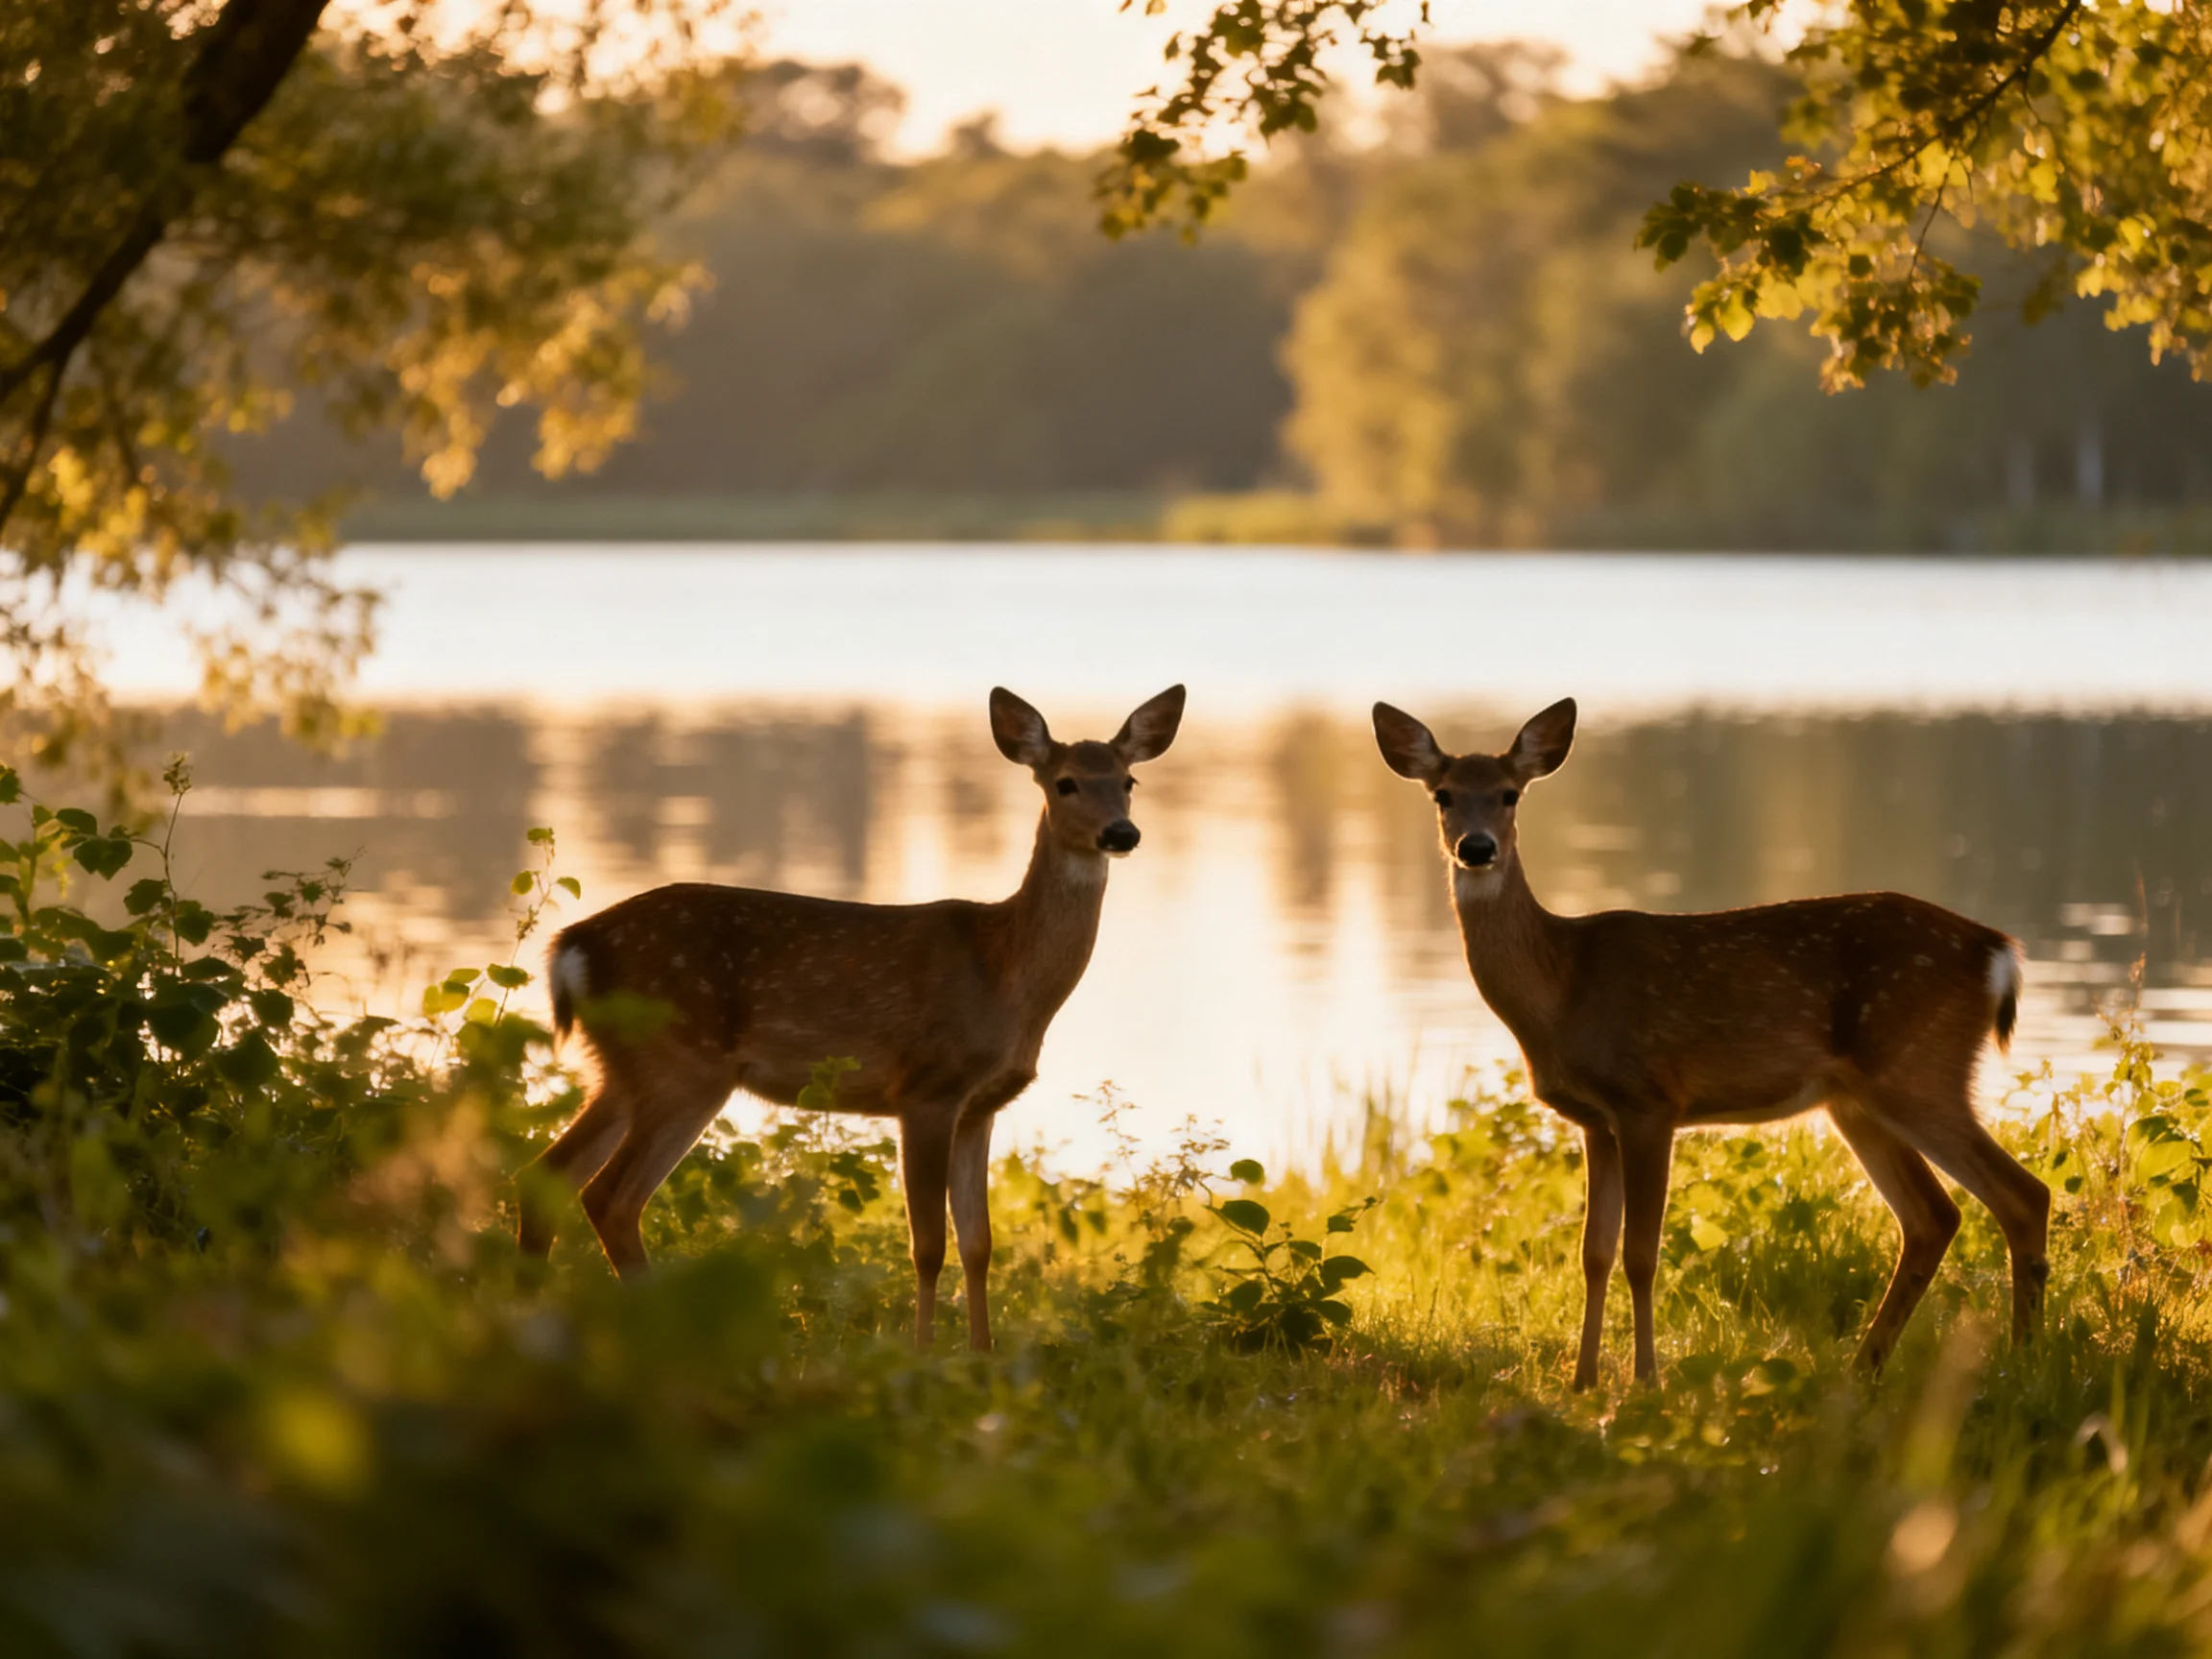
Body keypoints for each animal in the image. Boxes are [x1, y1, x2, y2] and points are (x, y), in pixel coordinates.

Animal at [519, 684, 1187, 1352]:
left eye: (1128, 780)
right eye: (1066, 782)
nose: (1122, 832)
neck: (1004, 973)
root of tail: (572, 947)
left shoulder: (982, 1106)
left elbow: (979, 1244)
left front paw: (982, 1354)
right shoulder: (926, 1088)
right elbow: (928, 1245)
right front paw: (922, 1353)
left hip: (623, 1068)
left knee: (549, 1173)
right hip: (682, 1063)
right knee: (610, 1197)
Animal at [1371, 697, 2050, 1389]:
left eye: (1510, 793)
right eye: (1444, 794)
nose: (1476, 848)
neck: (1563, 985)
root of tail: (1998, 953)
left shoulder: (1648, 1100)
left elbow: (1641, 1253)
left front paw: (1645, 1380)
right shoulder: (1594, 1120)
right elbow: (1594, 1253)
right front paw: (1583, 1380)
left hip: (1917, 1069)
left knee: (2022, 1195)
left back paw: (2021, 1361)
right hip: (1857, 1100)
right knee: (1933, 1217)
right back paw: (1866, 1367)